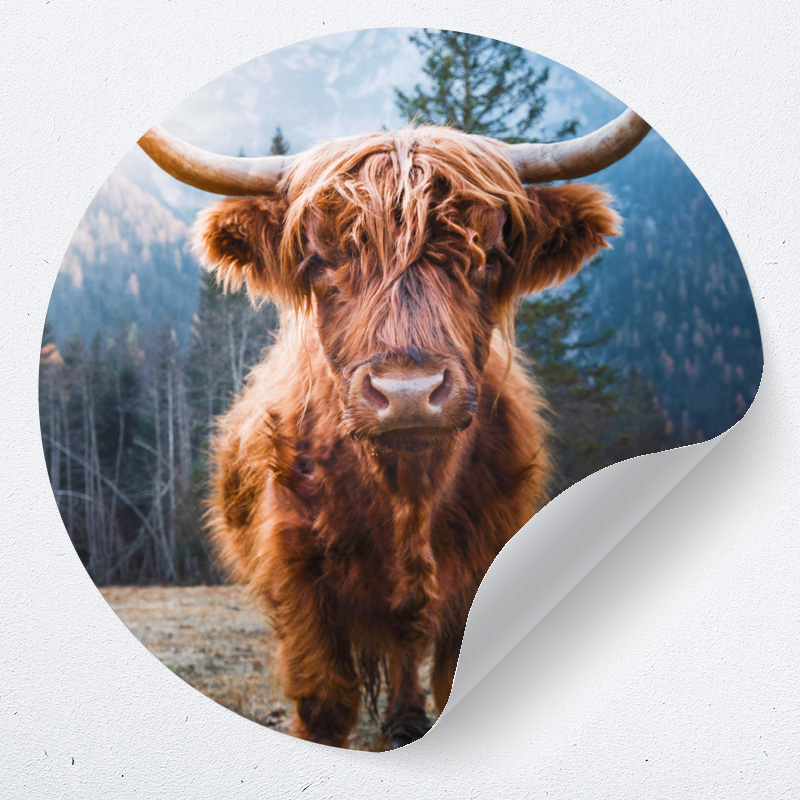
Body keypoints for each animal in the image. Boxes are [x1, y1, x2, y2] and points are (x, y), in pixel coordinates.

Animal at [139, 109, 650, 748]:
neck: (408, 492)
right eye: (321, 260)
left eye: (488, 256)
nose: (408, 394)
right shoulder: (299, 580)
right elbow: (325, 703)